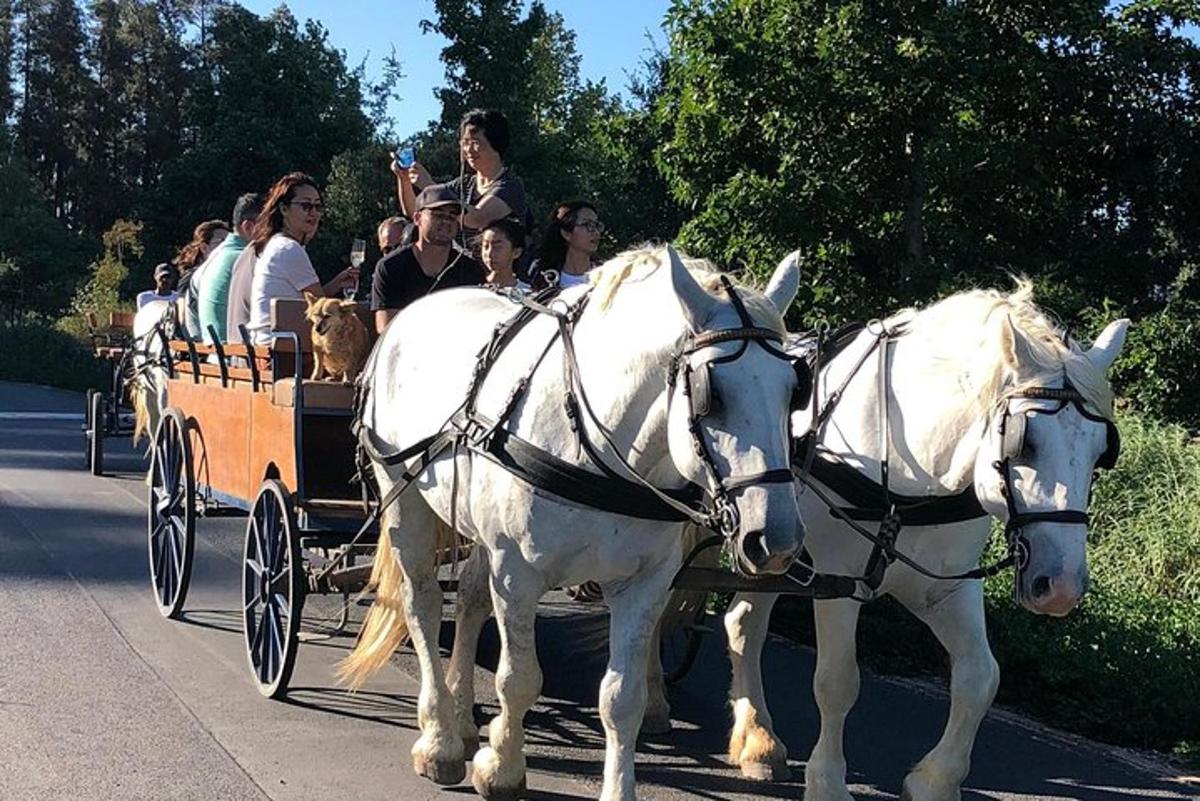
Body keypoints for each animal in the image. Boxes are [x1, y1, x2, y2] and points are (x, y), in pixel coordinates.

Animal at [338, 247, 806, 796]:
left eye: (794, 392)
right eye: (714, 394)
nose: (777, 540)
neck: (596, 445)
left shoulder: (643, 583)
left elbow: (621, 699)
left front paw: (616, 787)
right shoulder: (518, 573)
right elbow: (518, 679)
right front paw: (501, 767)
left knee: (471, 597)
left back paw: (462, 715)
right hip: (402, 495)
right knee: (424, 606)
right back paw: (440, 740)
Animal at [705, 284, 1128, 801]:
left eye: (1101, 452)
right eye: (1024, 443)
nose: (1062, 587)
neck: (914, 470)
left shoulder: (946, 588)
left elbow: (980, 677)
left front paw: (935, 779)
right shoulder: (837, 582)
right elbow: (837, 680)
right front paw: (827, 780)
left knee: (742, 622)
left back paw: (758, 742)